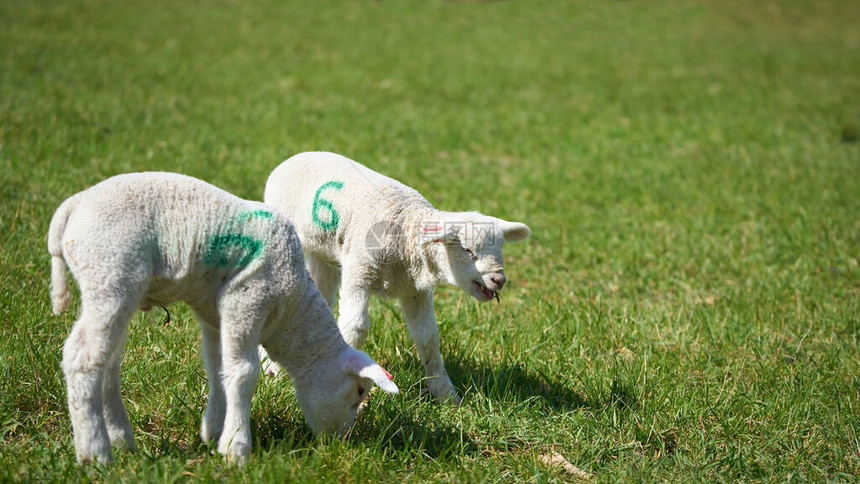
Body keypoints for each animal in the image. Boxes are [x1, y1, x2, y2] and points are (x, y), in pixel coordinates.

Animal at [51, 172, 404, 464]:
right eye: (358, 392)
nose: (340, 443)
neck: (291, 312)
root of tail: (72, 206)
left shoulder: (215, 315)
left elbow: (218, 367)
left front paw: (214, 432)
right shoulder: (246, 300)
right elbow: (244, 373)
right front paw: (236, 447)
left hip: (115, 289)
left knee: (107, 360)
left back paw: (121, 439)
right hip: (110, 273)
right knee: (82, 357)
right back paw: (95, 452)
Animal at [262, 151, 532, 404]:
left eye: (500, 250)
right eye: (467, 251)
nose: (499, 280)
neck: (407, 227)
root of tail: (296, 157)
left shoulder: (414, 290)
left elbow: (428, 337)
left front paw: (446, 395)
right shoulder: (359, 272)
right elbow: (355, 328)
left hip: (323, 252)